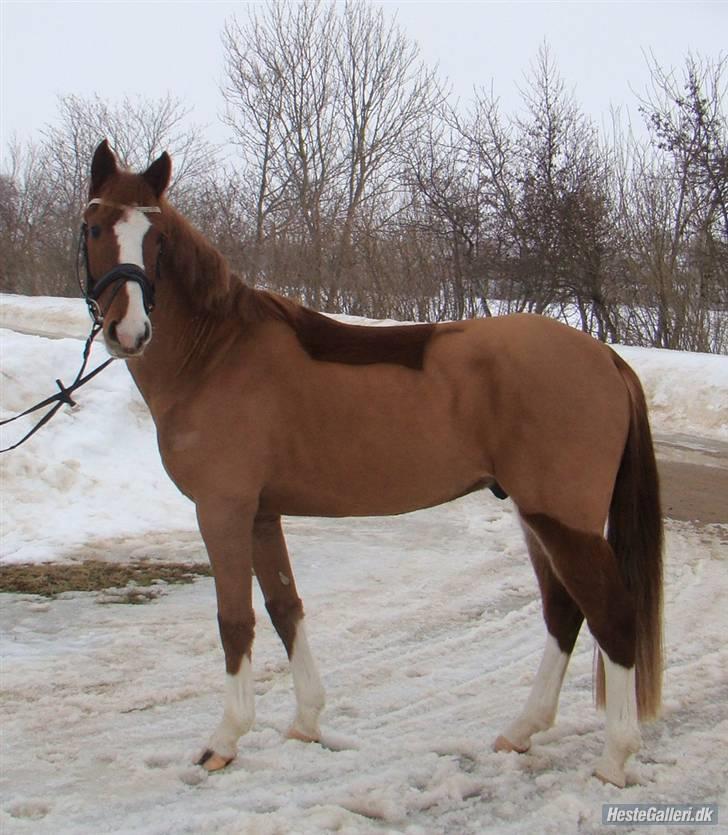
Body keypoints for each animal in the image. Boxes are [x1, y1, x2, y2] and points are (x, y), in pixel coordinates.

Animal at [82, 140, 664, 788]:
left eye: (156, 240)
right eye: (94, 228)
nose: (129, 331)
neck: (216, 355)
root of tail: (604, 356)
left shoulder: (222, 510)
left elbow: (235, 620)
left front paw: (224, 741)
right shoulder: (261, 514)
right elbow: (285, 607)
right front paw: (307, 722)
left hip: (564, 522)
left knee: (612, 617)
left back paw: (615, 757)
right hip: (539, 519)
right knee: (564, 612)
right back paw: (521, 730)